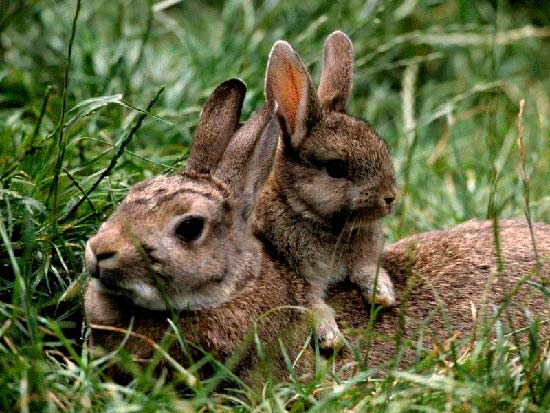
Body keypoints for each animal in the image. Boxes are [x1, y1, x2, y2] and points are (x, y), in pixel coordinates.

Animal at [252, 30, 398, 350]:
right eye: (336, 168)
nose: (390, 198)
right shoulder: (297, 274)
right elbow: (312, 303)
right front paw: (330, 336)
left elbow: (366, 269)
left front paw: (383, 293)